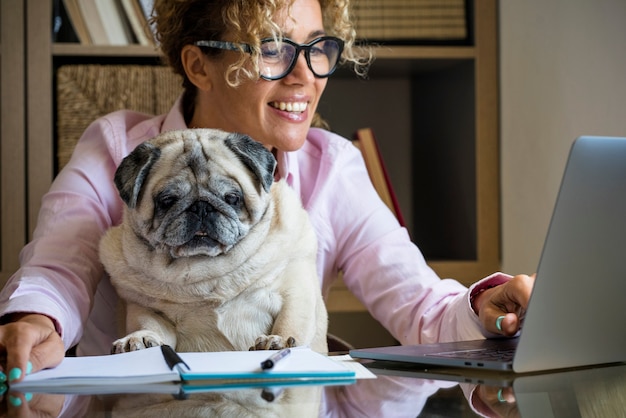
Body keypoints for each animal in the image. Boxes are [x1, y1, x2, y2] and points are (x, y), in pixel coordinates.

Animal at [98, 129, 326, 354]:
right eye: (167, 201)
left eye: (232, 198)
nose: (201, 207)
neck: (208, 274)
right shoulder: (145, 308)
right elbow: (149, 325)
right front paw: (139, 338)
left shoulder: (295, 294)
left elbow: (289, 323)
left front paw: (278, 340)